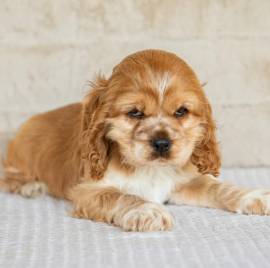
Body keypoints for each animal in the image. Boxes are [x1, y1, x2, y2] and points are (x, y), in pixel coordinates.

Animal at [1, 49, 268, 230]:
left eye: (181, 111)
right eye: (135, 113)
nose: (162, 143)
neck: (151, 170)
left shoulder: (183, 181)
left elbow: (217, 187)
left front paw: (253, 196)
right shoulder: (88, 191)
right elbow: (121, 196)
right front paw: (149, 211)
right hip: (20, 156)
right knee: (8, 176)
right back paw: (32, 186)